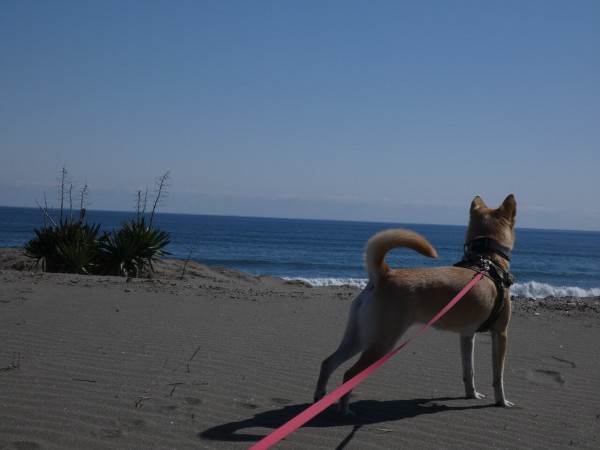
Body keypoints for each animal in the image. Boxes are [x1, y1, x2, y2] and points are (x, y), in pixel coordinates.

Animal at [314, 194, 516, 414]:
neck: (486, 261)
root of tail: (384, 274)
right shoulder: (501, 334)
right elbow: (499, 377)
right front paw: (502, 401)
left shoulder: (466, 335)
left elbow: (468, 371)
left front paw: (471, 394)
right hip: (382, 342)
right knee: (349, 374)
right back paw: (344, 410)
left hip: (359, 335)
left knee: (327, 363)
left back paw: (318, 399)